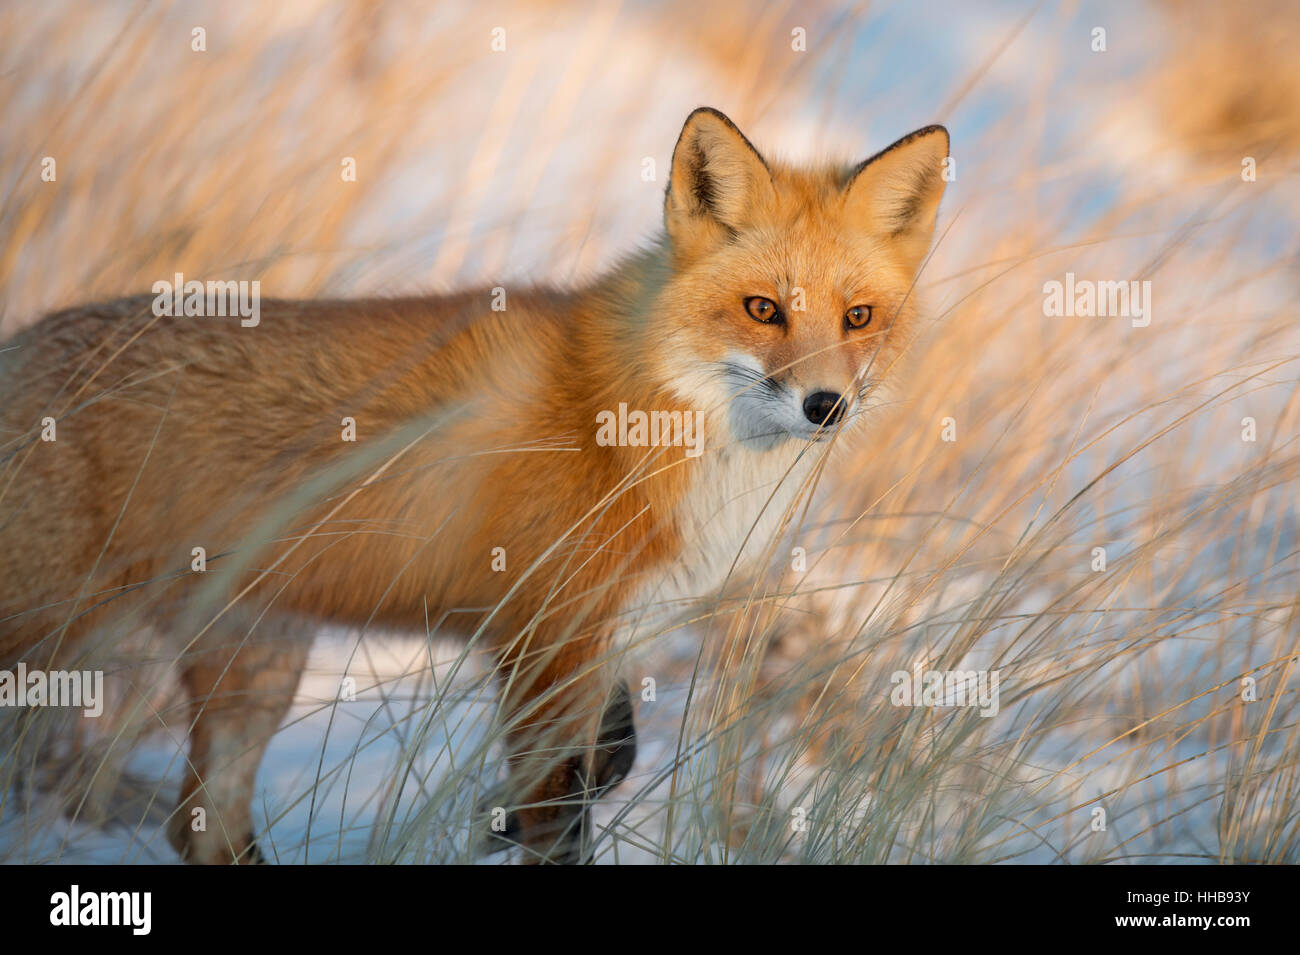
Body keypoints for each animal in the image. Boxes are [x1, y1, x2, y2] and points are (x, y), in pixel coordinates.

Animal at [0, 108, 946, 862]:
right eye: (762, 310)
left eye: (858, 318)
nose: (825, 405)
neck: (631, 424)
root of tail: (22, 344)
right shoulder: (541, 639)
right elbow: (562, 815)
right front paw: (509, 823)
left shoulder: (596, 637)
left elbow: (611, 761)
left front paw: (492, 818)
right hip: (58, 643)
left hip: (257, 666)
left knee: (202, 825)